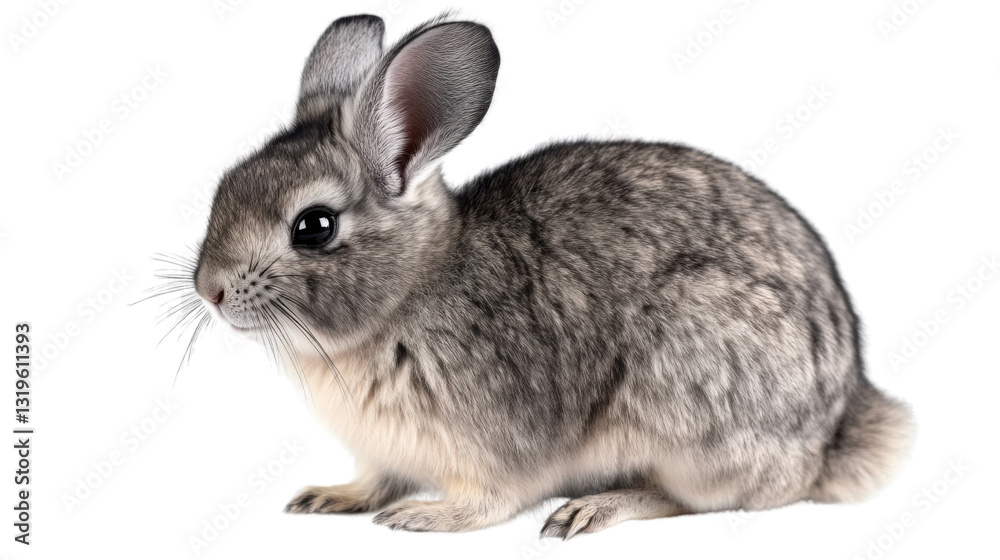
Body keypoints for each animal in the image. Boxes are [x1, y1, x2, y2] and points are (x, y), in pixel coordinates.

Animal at [192, 14, 913, 538]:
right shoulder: (383, 454)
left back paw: (591, 510)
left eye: (313, 226)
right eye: (226, 185)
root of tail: (836, 429)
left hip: (691, 401)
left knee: (705, 497)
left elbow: (487, 503)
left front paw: (422, 517)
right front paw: (331, 497)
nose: (210, 289)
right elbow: (374, 479)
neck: (409, 291)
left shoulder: (492, 447)